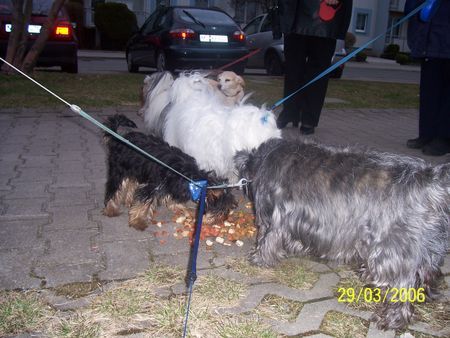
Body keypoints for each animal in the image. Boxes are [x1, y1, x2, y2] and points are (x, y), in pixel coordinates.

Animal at [236, 137, 450, 330]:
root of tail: (431, 181)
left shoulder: (274, 218)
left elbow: (267, 240)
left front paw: (259, 258)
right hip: (428, 246)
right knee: (427, 273)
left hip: (392, 248)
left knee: (402, 285)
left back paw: (392, 319)